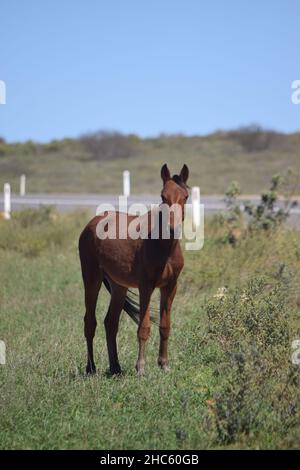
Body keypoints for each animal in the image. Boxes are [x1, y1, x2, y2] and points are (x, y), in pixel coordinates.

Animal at [78, 163, 189, 376]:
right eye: (163, 196)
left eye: (185, 196)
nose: (173, 228)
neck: (163, 247)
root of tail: (91, 224)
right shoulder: (146, 287)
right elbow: (143, 327)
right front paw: (141, 368)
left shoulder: (170, 287)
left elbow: (165, 325)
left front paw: (164, 364)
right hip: (91, 279)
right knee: (90, 322)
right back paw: (91, 368)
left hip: (118, 286)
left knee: (110, 322)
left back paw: (115, 367)